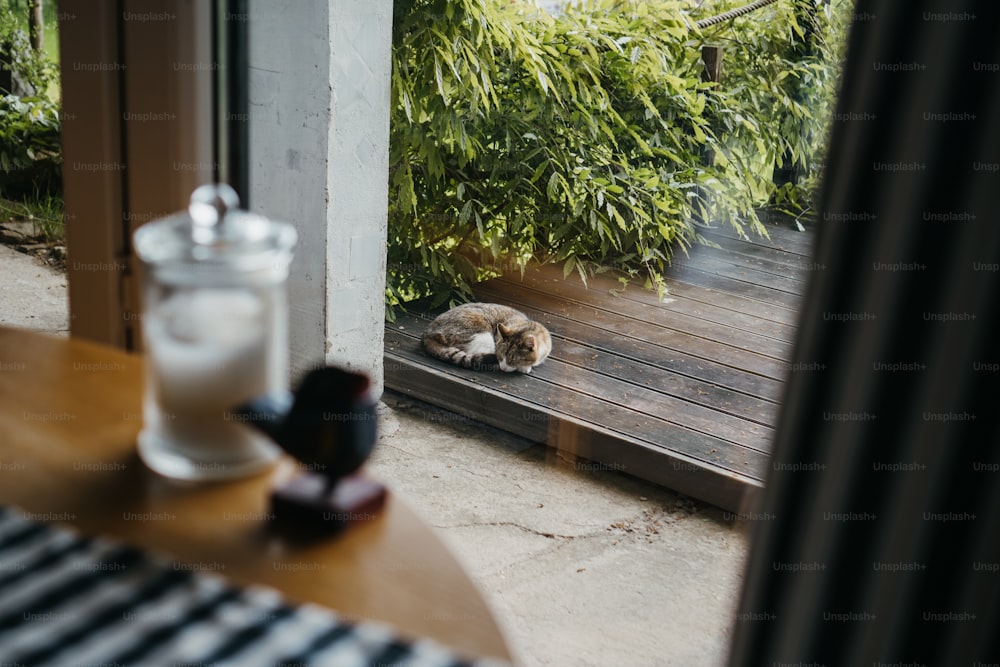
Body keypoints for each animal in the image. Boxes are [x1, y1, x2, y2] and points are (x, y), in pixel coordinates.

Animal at [420, 304, 552, 374]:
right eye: (500, 356)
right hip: (481, 334)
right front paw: (524, 367)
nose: (503, 368)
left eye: (513, 360)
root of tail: (426, 334)